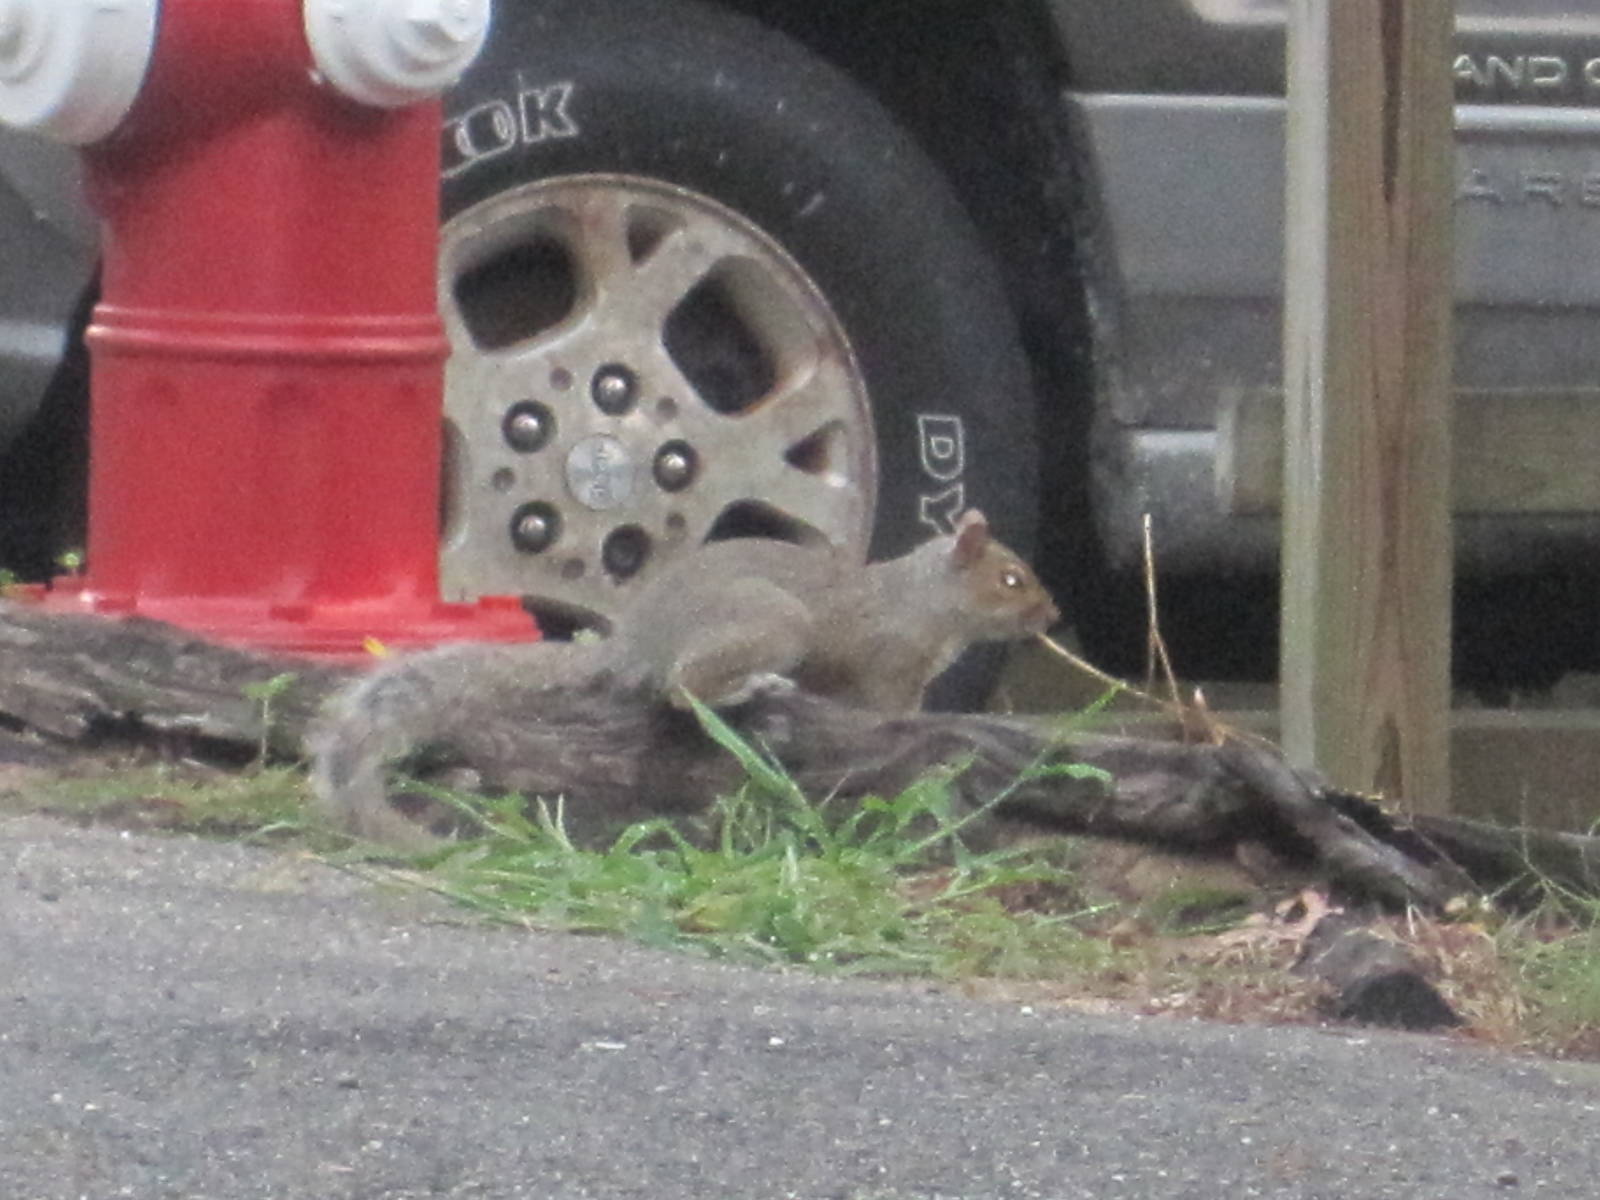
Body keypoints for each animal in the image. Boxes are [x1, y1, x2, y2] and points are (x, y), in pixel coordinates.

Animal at [309, 509, 1058, 848]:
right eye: (1010, 579)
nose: (1053, 614)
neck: (922, 599)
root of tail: (639, 639)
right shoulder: (888, 665)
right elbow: (892, 710)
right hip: (771, 624)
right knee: (680, 687)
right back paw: (753, 688)